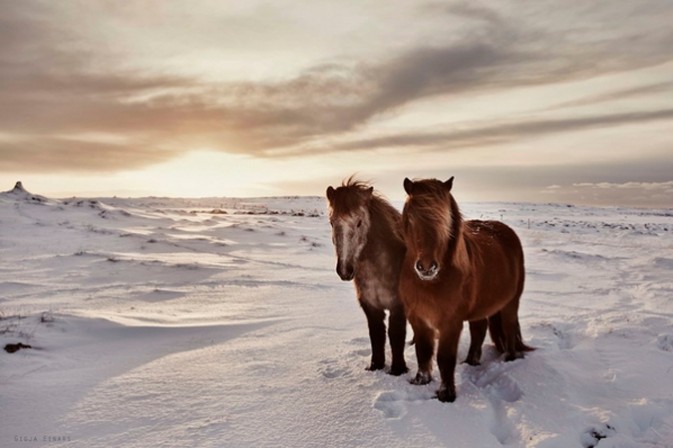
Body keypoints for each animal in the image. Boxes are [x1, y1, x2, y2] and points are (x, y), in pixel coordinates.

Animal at [326, 177, 410, 376]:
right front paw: (376, 366)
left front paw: (398, 370)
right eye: (332, 222)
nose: (345, 270)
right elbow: (376, 334)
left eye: (359, 222)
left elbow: (396, 335)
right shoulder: (371, 307)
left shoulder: (398, 306)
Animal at [396, 178, 532, 402]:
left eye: (445, 221)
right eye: (411, 218)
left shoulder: (450, 323)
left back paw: (510, 359)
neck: (430, 283)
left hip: (511, 303)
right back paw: (471, 362)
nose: (426, 267)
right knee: (479, 330)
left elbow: (444, 357)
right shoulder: (417, 318)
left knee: (509, 329)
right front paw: (420, 381)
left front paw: (446, 395)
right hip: (482, 308)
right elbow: (423, 351)